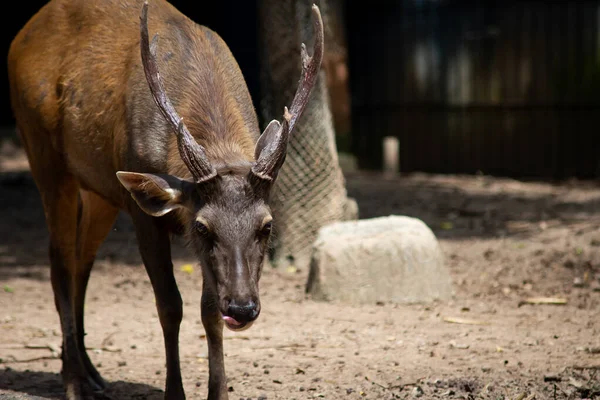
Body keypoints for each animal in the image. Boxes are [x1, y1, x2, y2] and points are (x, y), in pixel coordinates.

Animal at [5, 0, 324, 400]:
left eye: (267, 225)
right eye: (203, 227)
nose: (242, 307)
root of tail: (22, 36)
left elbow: (208, 311)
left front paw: (219, 392)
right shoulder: (144, 214)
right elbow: (170, 305)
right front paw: (175, 391)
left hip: (101, 190)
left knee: (81, 262)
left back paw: (92, 373)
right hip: (44, 154)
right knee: (59, 263)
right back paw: (74, 381)